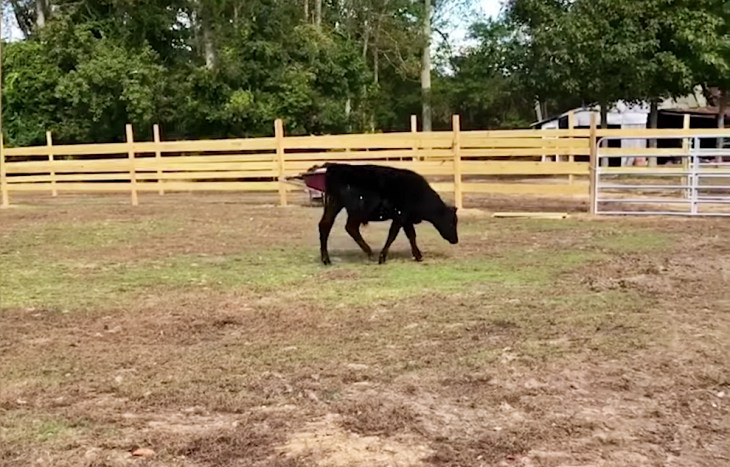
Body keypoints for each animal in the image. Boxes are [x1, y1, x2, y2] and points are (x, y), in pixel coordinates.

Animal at [316, 162, 458, 265]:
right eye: (451, 222)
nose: (455, 240)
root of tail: (335, 168)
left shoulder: (406, 219)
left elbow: (411, 236)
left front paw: (418, 256)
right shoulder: (400, 217)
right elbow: (392, 235)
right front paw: (382, 257)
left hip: (335, 204)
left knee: (325, 225)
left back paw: (326, 259)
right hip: (357, 211)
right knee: (350, 227)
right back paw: (369, 253)